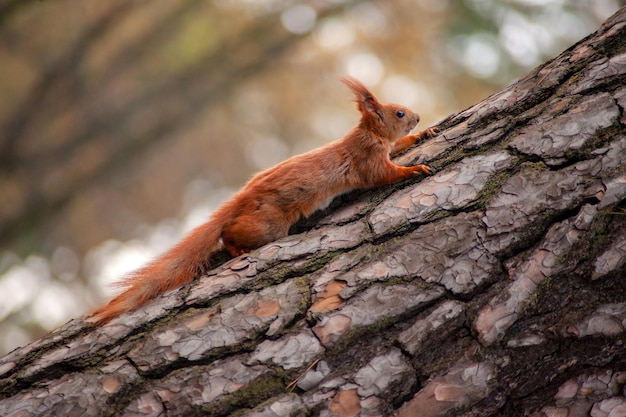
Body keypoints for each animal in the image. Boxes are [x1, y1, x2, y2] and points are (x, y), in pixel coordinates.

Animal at [89, 79, 434, 324]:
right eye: (399, 113)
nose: (418, 117)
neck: (370, 134)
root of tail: (242, 198)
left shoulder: (383, 150)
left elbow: (399, 146)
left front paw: (422, 135)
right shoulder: (368, 160)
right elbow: (386, 174)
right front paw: (414, 169)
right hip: (268, 225)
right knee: (229, 233)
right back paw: (236, 250)